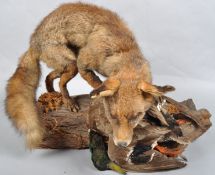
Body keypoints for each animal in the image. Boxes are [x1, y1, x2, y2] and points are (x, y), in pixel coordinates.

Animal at [5, 2, 175, 148]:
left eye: (136, 116)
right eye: (112, 116)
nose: (121, 144)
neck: (121, 51)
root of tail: (33, 41)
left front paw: (157, 98)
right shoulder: (83, 62)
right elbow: (97, 83)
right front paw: (99, 95)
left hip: (64, 65)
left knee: (49, 76)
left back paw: (52, 93)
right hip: (72, 64)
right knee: (61, 82)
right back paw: (67, 101)